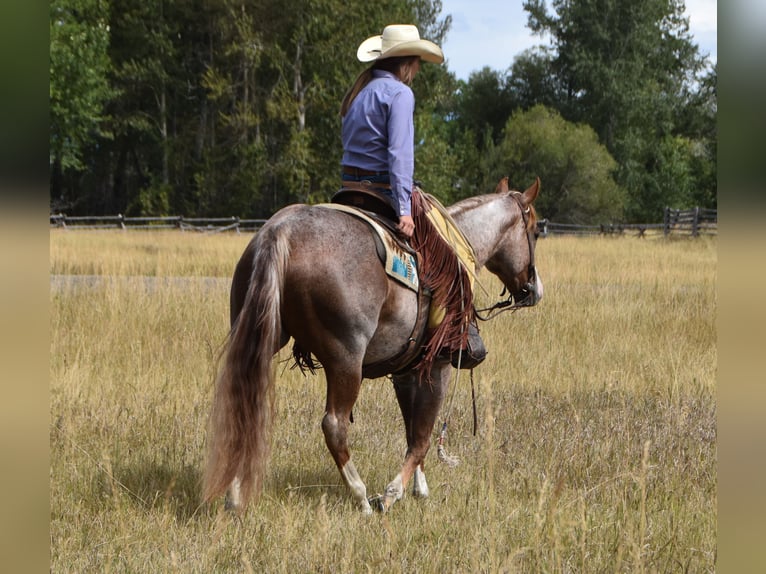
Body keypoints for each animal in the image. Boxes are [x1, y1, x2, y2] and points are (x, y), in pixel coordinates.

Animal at [203, 176, 543, 514]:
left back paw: (234, 495)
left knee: (244, 405)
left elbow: (412, 428)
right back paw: (361, 496)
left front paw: (418, 486)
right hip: (346, 360)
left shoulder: (407, 371)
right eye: (536, 231)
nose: (534, 289)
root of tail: (281, 232)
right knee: (334, 425)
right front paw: (393, 493)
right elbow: (423, 435)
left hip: (259, 338)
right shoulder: (438, 366)